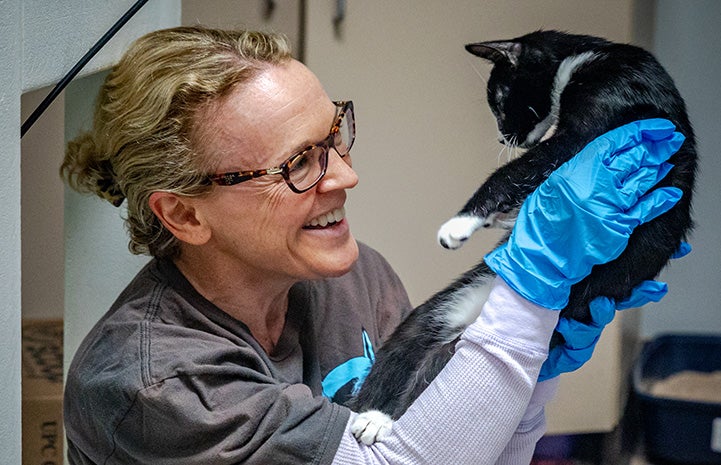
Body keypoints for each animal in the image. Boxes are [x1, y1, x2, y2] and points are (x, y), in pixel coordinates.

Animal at [346, 29, 696, 442]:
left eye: (499, 101)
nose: (502, 138)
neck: (583, 56)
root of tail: (479, 314)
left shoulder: (595, 124)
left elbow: (518, 170)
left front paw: (461, 222)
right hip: (438, 310)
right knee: (407, 344)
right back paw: (371, 416)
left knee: (434, 366)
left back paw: (377, 421)